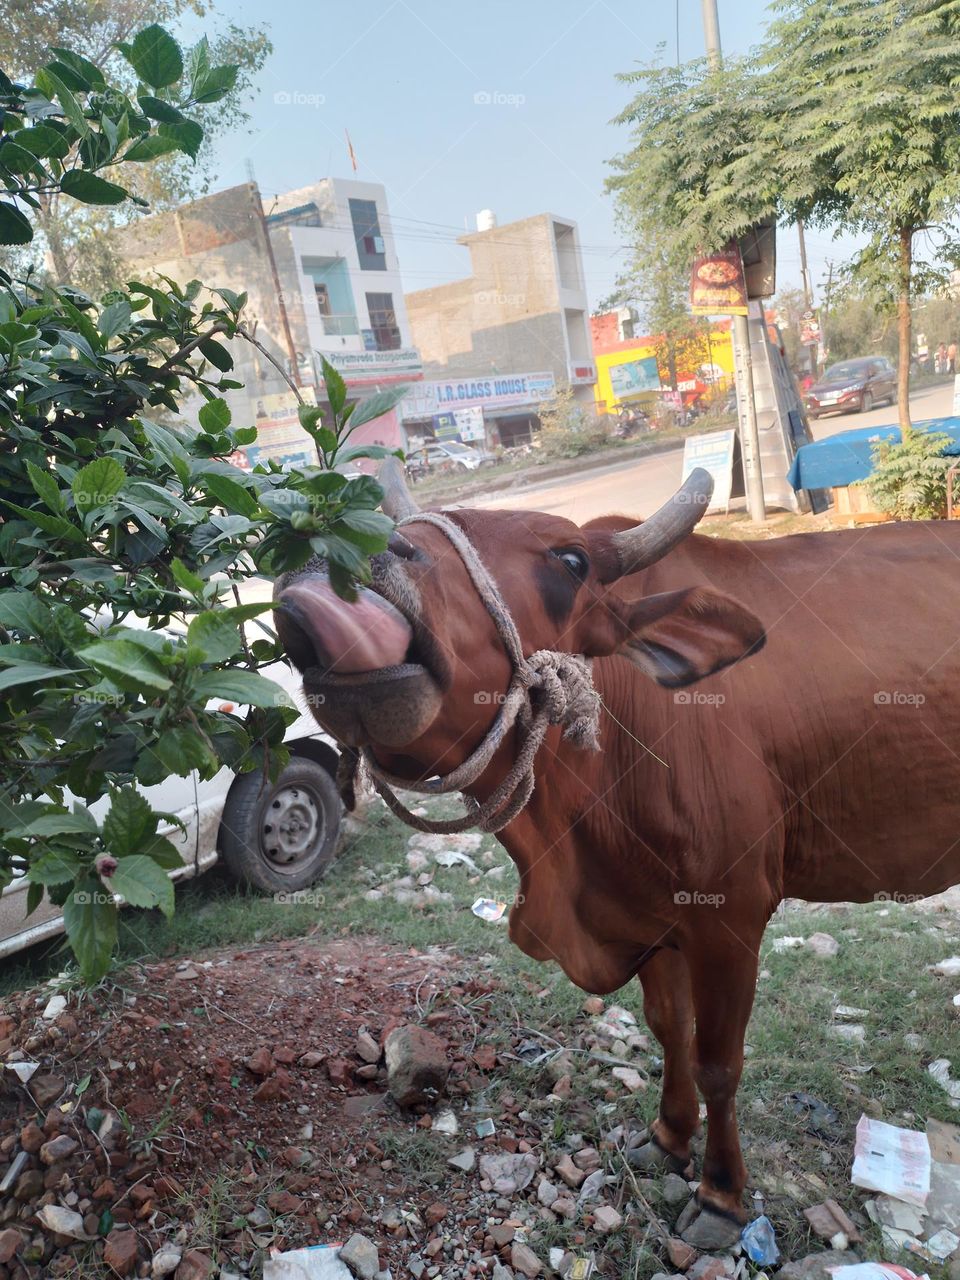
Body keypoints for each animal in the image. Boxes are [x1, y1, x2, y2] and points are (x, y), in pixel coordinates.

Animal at [274, 458, 960, 1248]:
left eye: (571, 561)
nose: (351, 555)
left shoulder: (730, 918)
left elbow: (718, 1061)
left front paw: (721, 1194)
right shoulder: (650, 920)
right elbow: (668, 1033)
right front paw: (666, 1138)